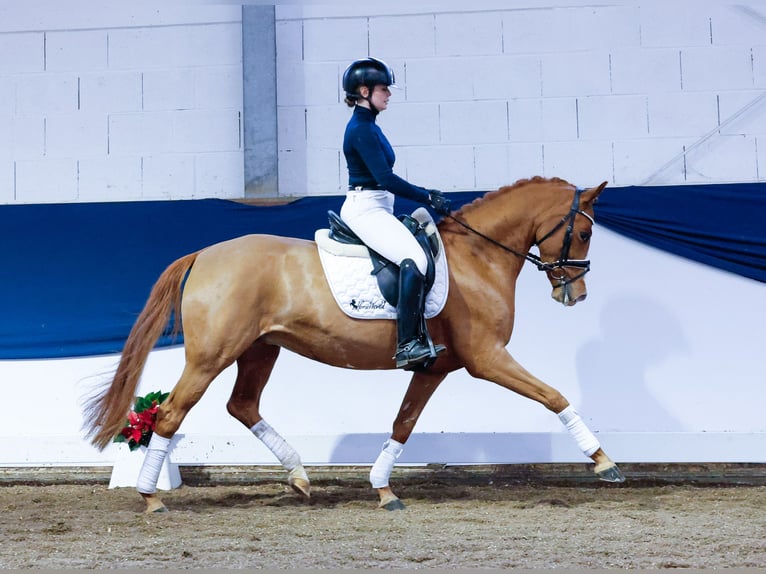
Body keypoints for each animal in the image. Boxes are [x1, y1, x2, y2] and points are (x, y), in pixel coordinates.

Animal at [84, 178, 624, 516]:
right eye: (583, 231)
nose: (575, 294)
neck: (479, 256)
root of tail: (203, 255)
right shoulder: (486, 358)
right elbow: (553, 395)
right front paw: (604, 463)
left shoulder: (434, 368)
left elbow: (403, 424)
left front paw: (384, 490)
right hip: (211, 356)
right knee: (171, 414)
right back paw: (152, 498)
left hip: (260, 349)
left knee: (243, 405)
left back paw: (300, 476)